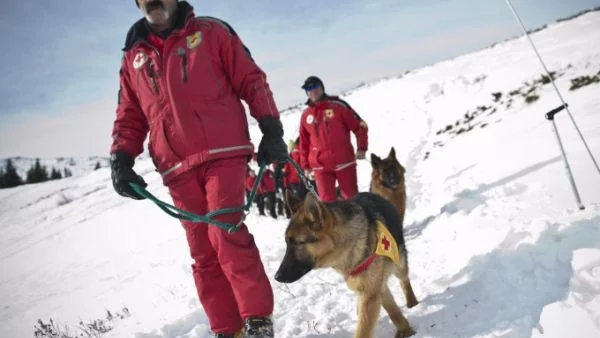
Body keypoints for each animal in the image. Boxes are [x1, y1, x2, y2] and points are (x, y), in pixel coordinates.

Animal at [276, 191, 418, 336]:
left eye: (298, 243)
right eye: (287, 243)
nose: (277, 277)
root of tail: (376, 194)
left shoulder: (370, 293)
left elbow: (363, 330)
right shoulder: (371, 289)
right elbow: (391, 308)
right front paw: (405, 329)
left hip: (399, 263)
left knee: (404, 280)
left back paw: (412, 302)